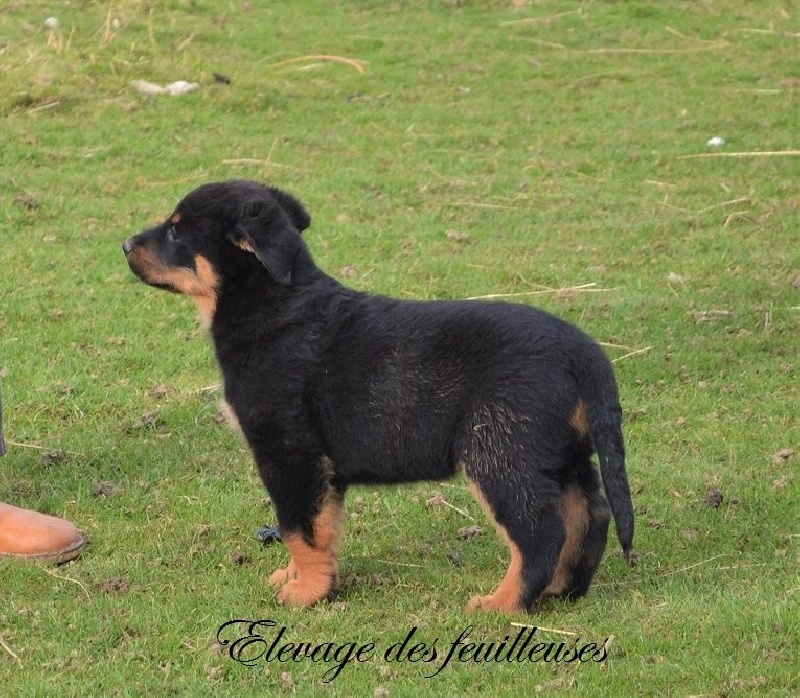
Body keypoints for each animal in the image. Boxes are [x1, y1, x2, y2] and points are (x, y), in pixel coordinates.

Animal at [123, 180, 634, 613]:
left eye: (175, 231)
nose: (125, 245)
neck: (271, 306)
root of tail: (584, 352)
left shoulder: (289, 451)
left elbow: (298, 526)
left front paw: (305, 593)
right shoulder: (317, 467)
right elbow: (319, 527)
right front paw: (298, 578)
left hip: (500, 451)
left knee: (540, 531)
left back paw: (501, 605)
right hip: (557, 452)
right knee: (588, 513)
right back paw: (562, 589)